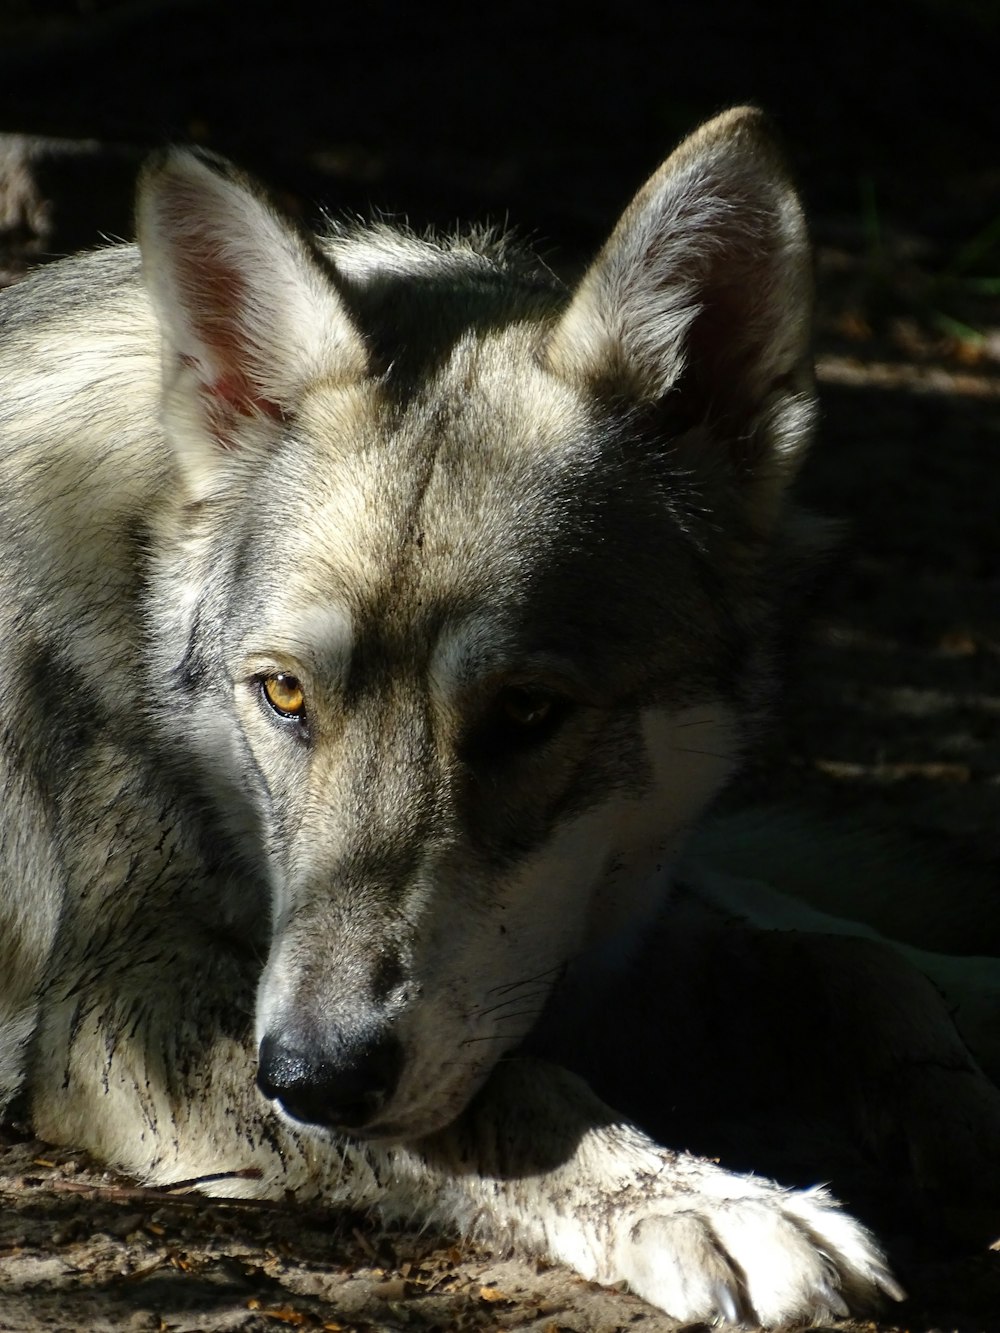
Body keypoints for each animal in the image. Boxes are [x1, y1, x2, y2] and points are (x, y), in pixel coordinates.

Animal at [3, 109, 997, 1327]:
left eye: (527, 710)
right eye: (285, 694)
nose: (313, 1078)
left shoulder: (588, 944)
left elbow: (838, 963)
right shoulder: (117, 1009)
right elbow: (513, 1094)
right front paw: (711, 1202)